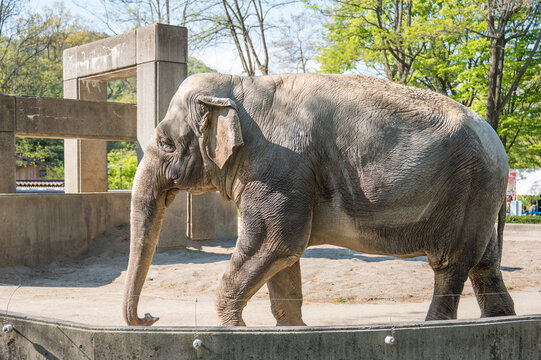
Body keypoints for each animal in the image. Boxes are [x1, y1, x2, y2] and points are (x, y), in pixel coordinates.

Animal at [122, 72, 516, 326]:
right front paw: (291, 330)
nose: (150, 317)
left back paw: (436, 326)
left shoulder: (281, 168)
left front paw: (232, 330)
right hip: (480, 198)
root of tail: (500, 146)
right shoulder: (283, 177)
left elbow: (275, 243)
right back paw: (500, 321)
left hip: (468, 190)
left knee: (451, 266)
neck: (241, 84)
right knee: (485, 265)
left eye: (165, 144)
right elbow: (282, 259)